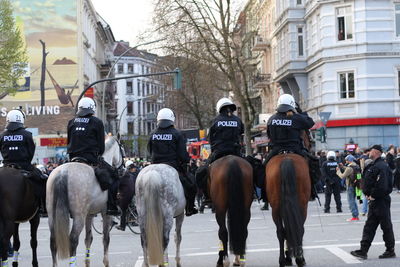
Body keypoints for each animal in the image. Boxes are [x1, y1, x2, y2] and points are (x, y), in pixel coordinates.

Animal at [45, 136, 123, 267]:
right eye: (122, 148)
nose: (122, 169)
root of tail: (62, 173)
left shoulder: (89, 215)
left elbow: (88, 238)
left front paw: (87, 262)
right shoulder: (106, 214)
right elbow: (106, 238)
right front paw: (106, 262)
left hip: (52, 215)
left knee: (53, 241)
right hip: (78, 216)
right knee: (73, 239)